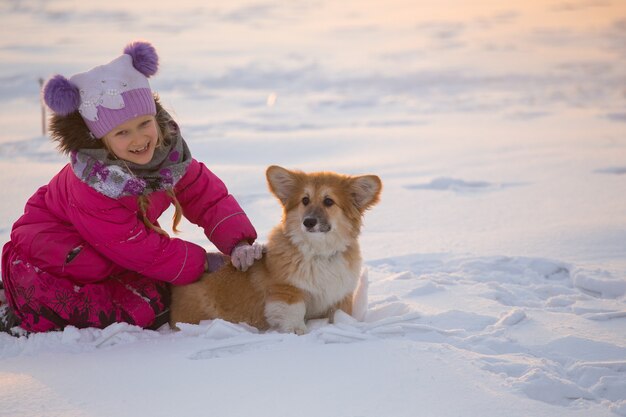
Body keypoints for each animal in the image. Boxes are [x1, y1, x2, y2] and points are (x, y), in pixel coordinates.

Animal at [169, 164, 380, 334]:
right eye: (305, 200)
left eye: (329, 201)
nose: (308, 222)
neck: (318, 252)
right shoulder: (286, 291)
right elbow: (294, 311)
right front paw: (297, 331)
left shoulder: (339, 296)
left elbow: (338, 314)